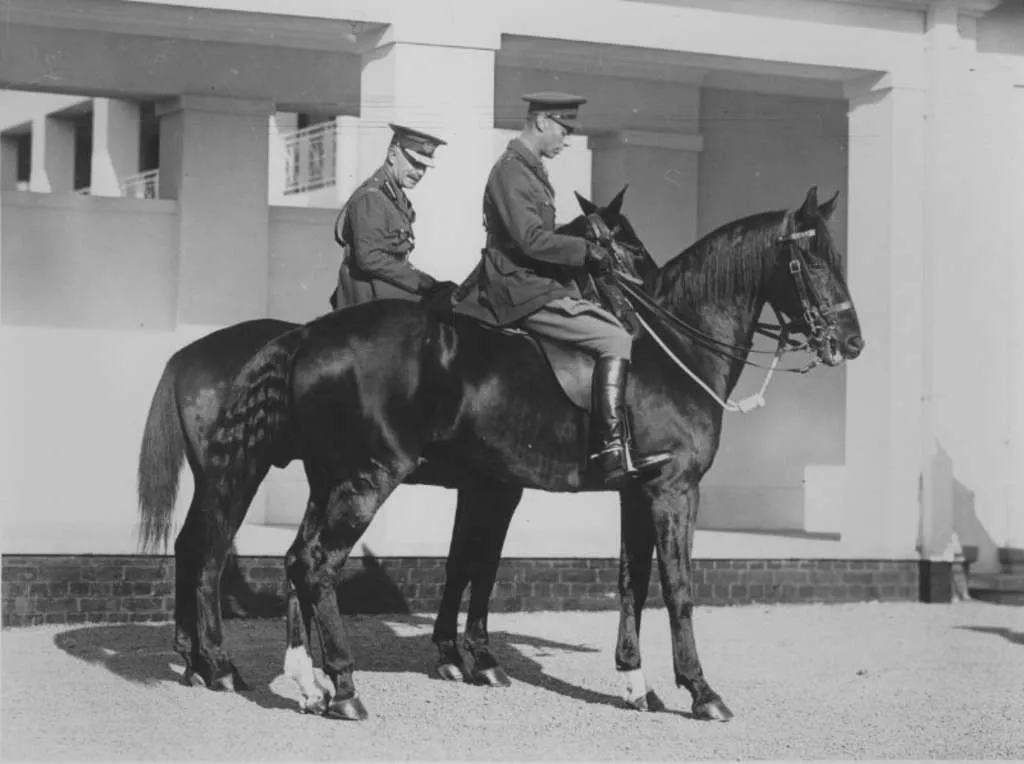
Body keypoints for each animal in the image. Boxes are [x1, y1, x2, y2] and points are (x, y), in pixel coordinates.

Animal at [134, 184, 856, 720]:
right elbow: (673, 587)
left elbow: (621, 580)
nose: (851, 341)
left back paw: (281, 675)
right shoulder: (672, 489)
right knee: (280, 560)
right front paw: (700, 691)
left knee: (277, 559)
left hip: (323, 478)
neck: (668, 354)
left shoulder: (626, 490)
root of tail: (306, 338)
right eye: (812, 261)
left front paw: (631, 682)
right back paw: (315, 682)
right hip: (328, 478)